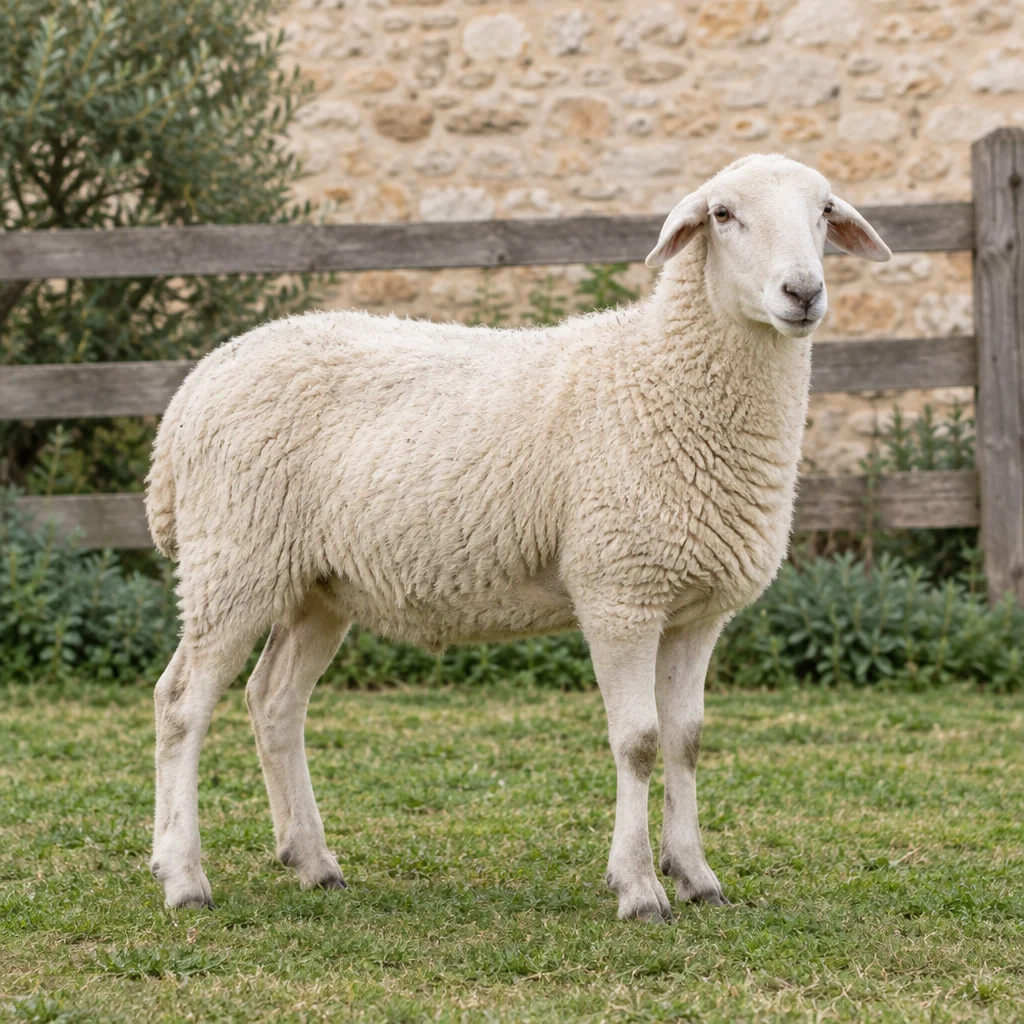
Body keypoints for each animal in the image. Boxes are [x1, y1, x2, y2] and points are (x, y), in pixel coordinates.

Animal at [145, 153, 891, 920]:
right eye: (722, 214)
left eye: (825, 210)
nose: (803, 292)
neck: (659, 373)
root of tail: (194, 388)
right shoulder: (618, 591)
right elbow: (639, 742)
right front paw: (639, 887)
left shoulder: (697, 610)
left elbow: (685, 742)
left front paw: (695, 874)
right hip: (233, 558)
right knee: (181, 705)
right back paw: (183, 876)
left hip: (317, 585)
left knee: (274, 702)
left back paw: (312, 861)